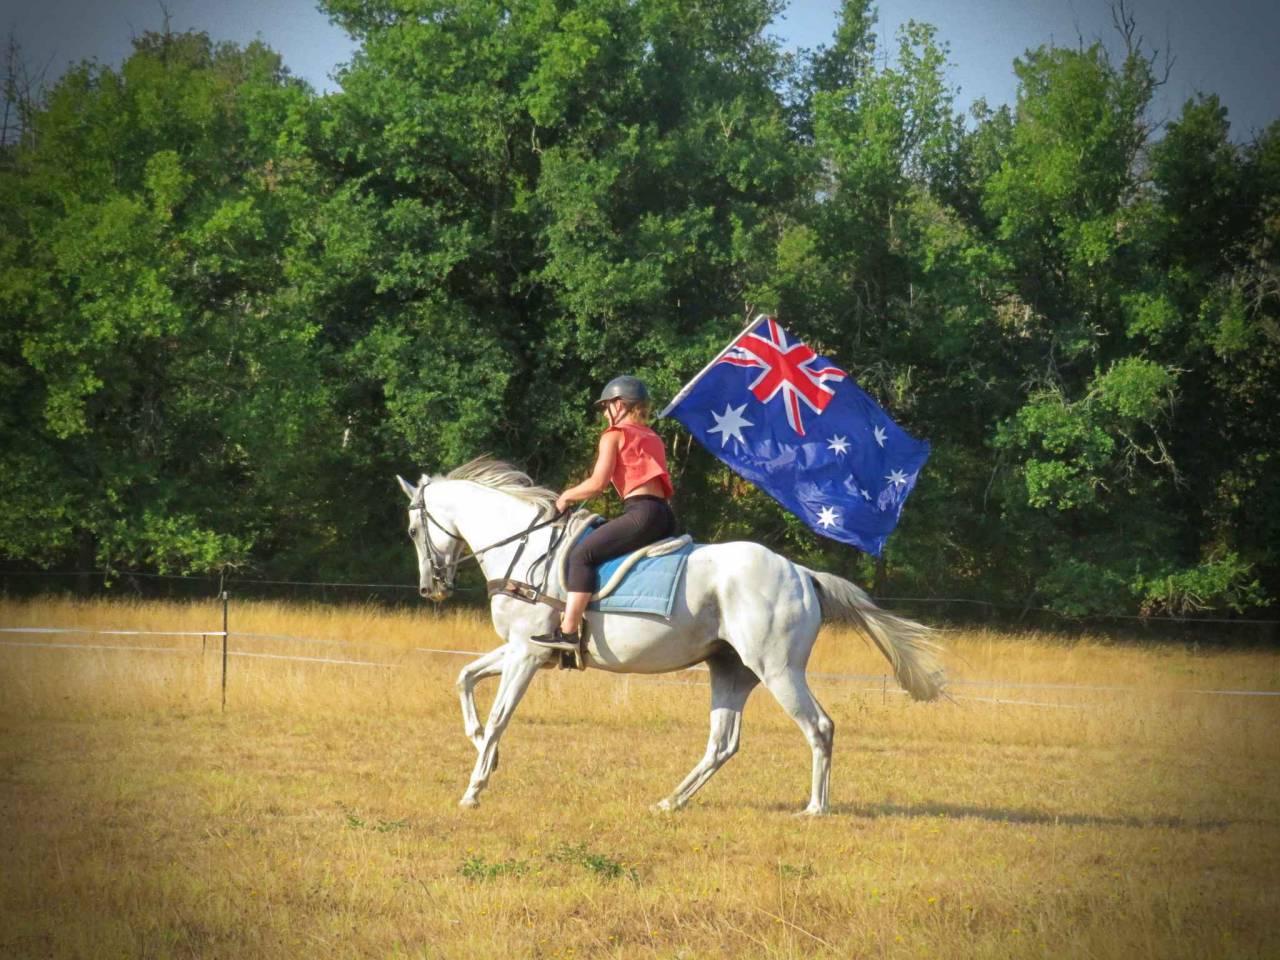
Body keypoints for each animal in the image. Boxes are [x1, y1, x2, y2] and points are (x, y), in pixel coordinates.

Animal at [398, 456, 944, 815]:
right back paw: (670, 801)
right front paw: (481, 753)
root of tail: (802, 573)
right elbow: (465, 679)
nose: (430, 588)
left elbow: (498, 718)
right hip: (732, 671)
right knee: (723, 743)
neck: (526, 548)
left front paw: (473, 789)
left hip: (778, 670)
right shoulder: (520, 649)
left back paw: (814, 809)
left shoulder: (527, 655)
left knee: (819, 727)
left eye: (412, 531)